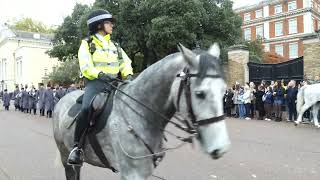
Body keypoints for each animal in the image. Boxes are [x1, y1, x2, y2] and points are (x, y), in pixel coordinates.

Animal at [53, 44, 231, 180]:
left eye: (224, 91)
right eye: (200, 93)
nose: (221, 148)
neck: (140, 114)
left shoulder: (144, 171)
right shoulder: (132, 173)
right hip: (65, 155)